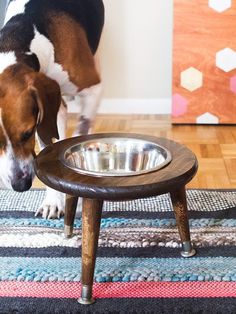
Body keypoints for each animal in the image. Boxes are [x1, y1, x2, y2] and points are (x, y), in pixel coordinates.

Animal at [0, 0, 104, 218]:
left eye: (27, 133)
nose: (20, 185)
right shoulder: (44, 117)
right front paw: (53, 201)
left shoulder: (94, 89)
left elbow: (80, 131)